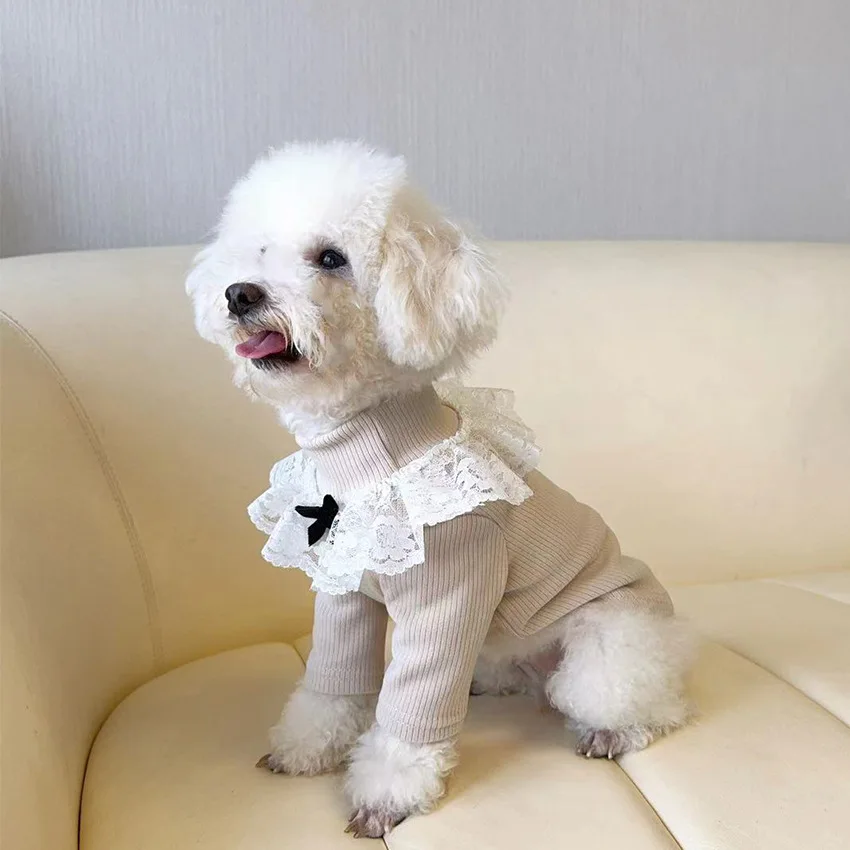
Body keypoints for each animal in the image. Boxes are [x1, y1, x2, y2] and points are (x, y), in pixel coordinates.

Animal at [186, 141, 694, 838]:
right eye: (259, 251)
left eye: (331, 258)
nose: (240, 294)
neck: (370, 461)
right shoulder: (344, 596)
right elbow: (331, 684)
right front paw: (305, 749)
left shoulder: (449, 595)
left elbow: (411, 713)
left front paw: (386, 796)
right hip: (503, 643)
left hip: (609, 642)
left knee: (651, 704)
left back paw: (615, 732)